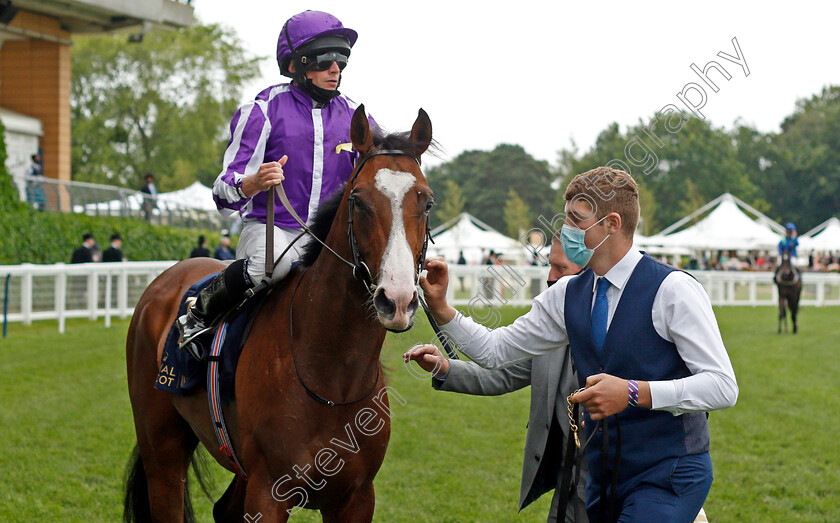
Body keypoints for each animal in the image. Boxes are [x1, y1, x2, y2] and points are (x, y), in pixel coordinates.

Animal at [124, 106, 436, 523]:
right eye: (358, 200)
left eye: (427, 202)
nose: (397, 299)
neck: (332, 380)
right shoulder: (269, 491)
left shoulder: (356, 497)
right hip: (162, 446)